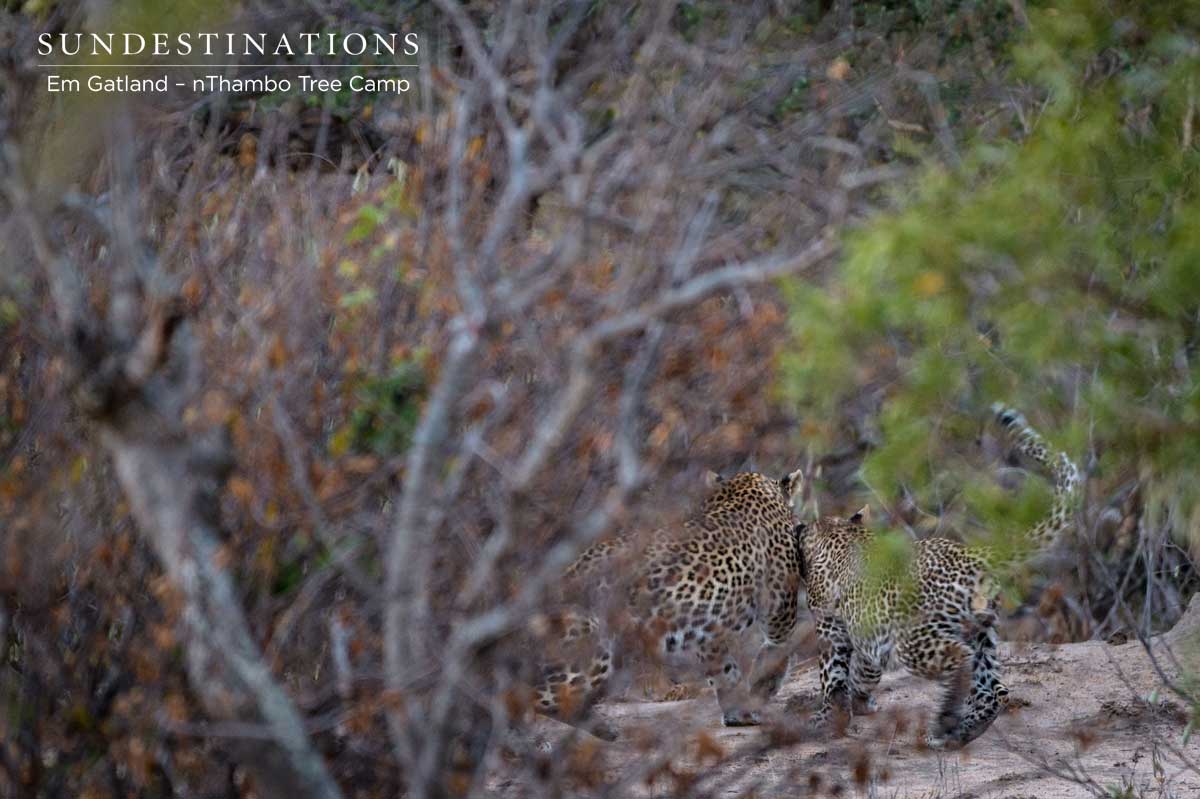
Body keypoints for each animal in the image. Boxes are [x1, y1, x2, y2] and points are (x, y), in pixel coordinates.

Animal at [531, 467, 807, 739]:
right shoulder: (779, 617)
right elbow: (773, 657)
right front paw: (757, 698)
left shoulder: (709, 630)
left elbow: (726, 672)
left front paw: (737, 712)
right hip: (593, 646)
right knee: (538, 695)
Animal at [798, 403, 1082, 749]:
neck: (839, 533)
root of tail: (972, 556)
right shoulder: (866, 635)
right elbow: (864, 672)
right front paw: (860, 702)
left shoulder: (831, 626)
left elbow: (833, 676)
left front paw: (826, 718)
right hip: (981, 632)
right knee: (994, 690)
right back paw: (959, 733)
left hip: (915, 639)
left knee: (961, 661)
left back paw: (945, 723)